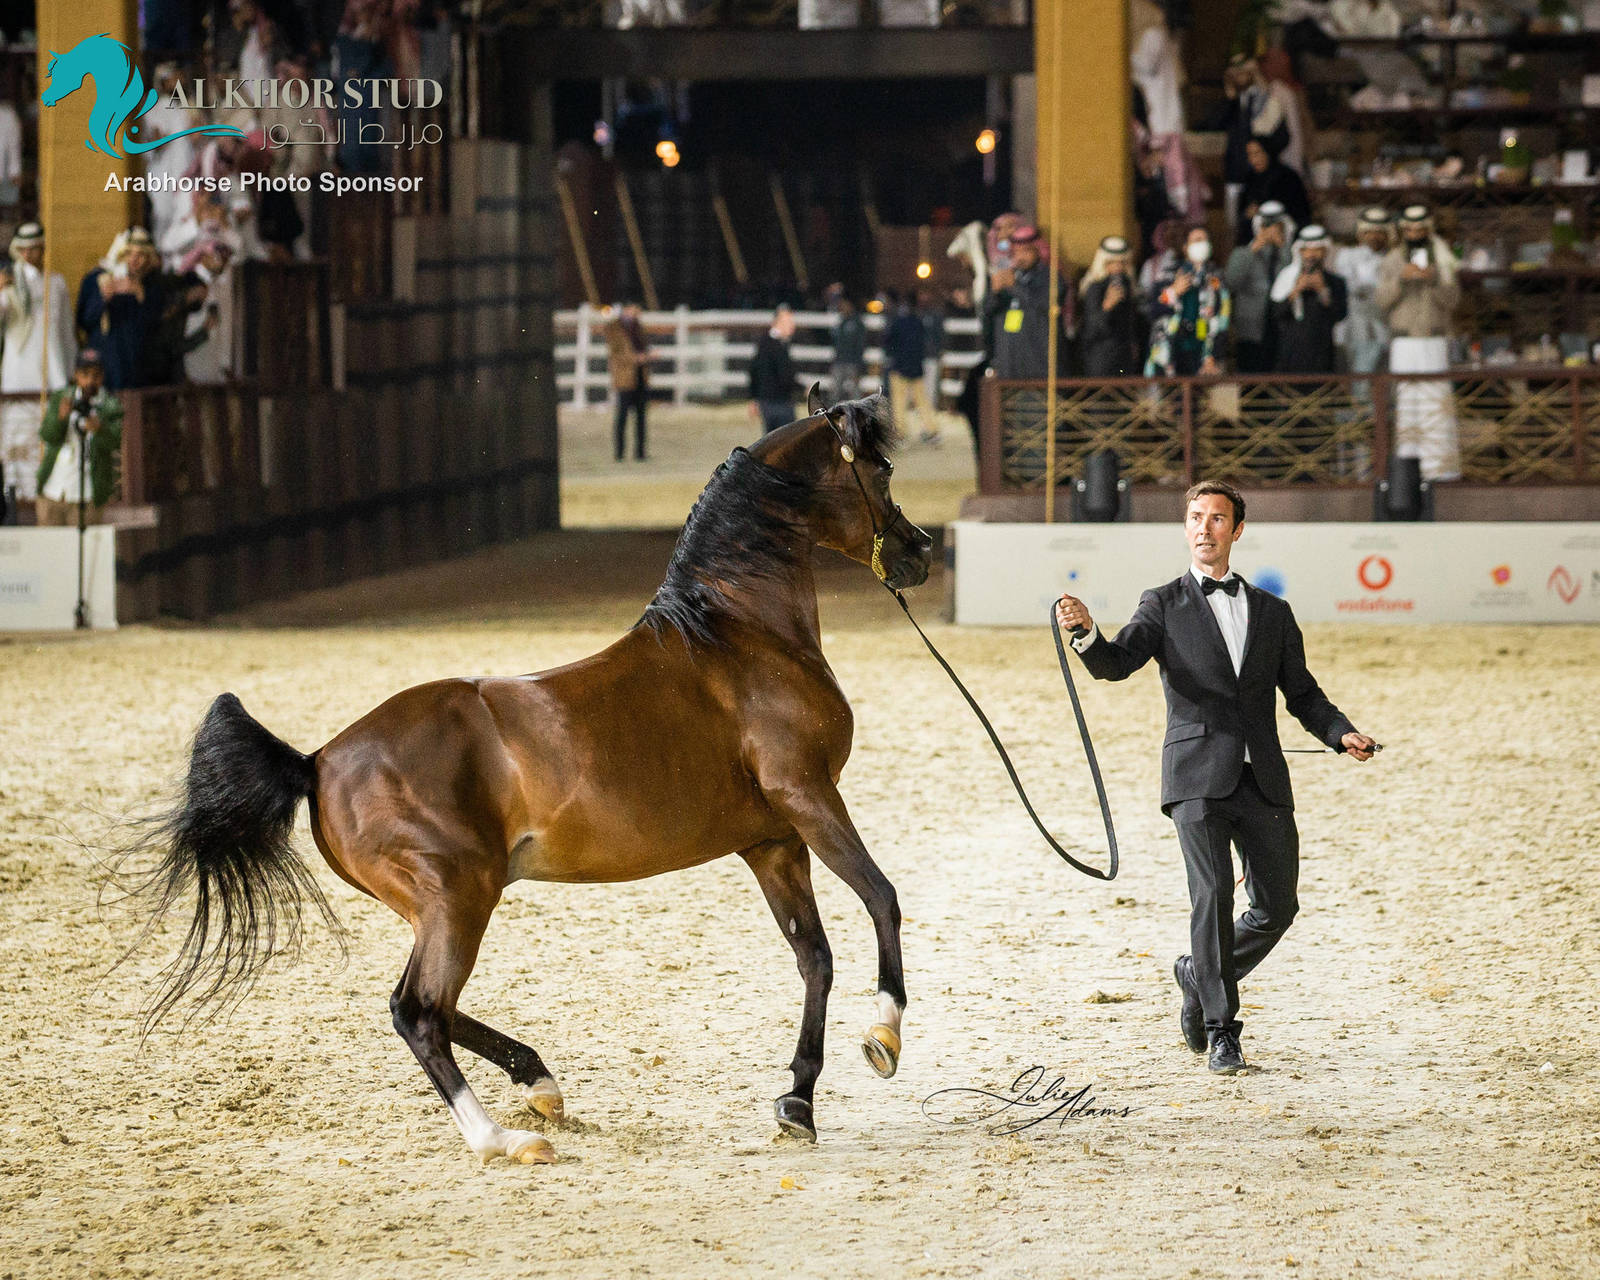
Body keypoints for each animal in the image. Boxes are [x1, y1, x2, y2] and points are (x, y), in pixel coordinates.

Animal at [121, 390, 933, 1165]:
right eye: (883, 470)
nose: (920, 553)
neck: (736, 636)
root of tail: (316, 760)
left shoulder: (771, 840)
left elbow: (814, 958)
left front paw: (798, 1103)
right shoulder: (810, 797)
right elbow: (883, 898)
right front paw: (884, 1036)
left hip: (442, 905)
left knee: (433, 1008)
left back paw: (539, 1084)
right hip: (457, 897)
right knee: (417, 1011)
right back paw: (504, 1141)